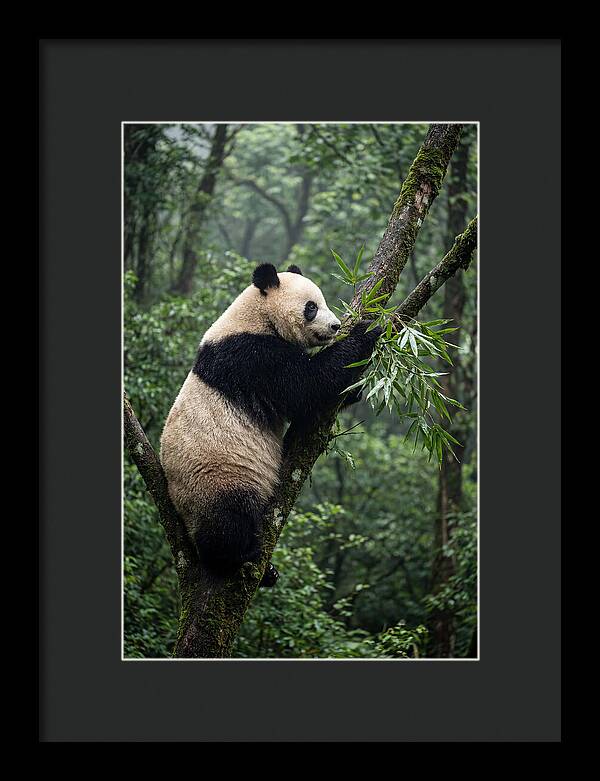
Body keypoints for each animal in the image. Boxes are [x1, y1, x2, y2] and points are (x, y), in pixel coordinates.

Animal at [159, 262, 381, 587]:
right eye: (311, 307)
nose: (335, 326)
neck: (256, 316)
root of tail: (180, 512)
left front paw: (355, 388)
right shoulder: (251, 357)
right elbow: (307, 385)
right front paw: (368, 329)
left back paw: (268, 572)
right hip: (215, 478)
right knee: (228, 520)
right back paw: (240, 557)